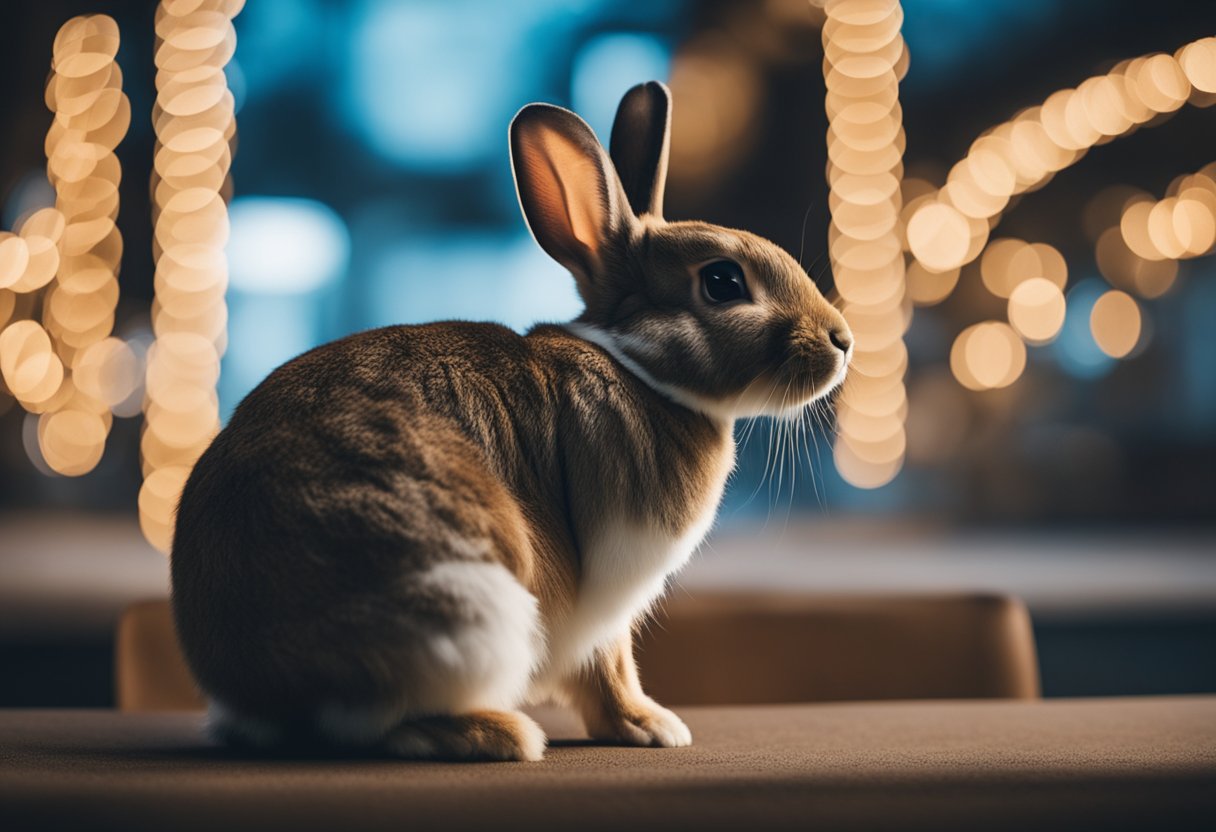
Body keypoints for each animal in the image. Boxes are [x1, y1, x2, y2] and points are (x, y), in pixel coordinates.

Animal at [171, 81, 851, 763]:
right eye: (722, 281)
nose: (842, 340)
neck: (642, 367)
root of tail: (259, 683)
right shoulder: (605, 600)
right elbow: (610, 669)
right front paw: (653, 726)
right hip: (469, 610)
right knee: (374, 724)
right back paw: (503, 733)